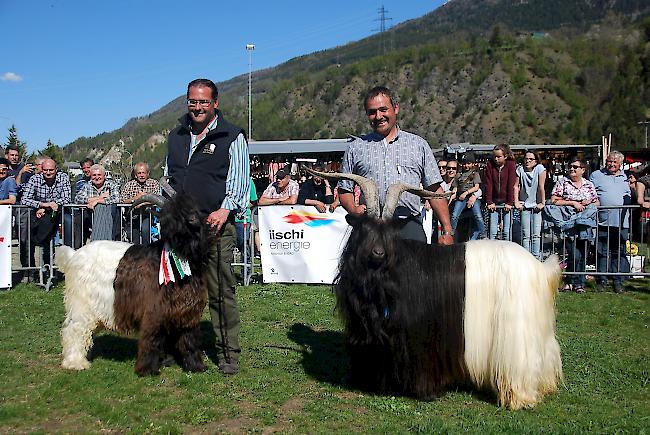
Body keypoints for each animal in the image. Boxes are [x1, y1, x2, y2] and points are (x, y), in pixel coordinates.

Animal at [56, 192, 213, 376]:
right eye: (169, 215)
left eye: (193, 208)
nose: (193, 220)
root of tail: (73, 255)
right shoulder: (153, 310)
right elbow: (150, 338)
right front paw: (147, 369)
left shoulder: (187, 311)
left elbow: (189, 339)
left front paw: (196, 366)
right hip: (82, 303)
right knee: (75, 329)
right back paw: (75, 362)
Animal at [306, 169, 560, 410]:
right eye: (365, 229)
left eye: (389, 233)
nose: (378, 253)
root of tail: (539, 269)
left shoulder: (420, 337)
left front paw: (425, 392)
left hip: (515, 330)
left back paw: (519, 399)